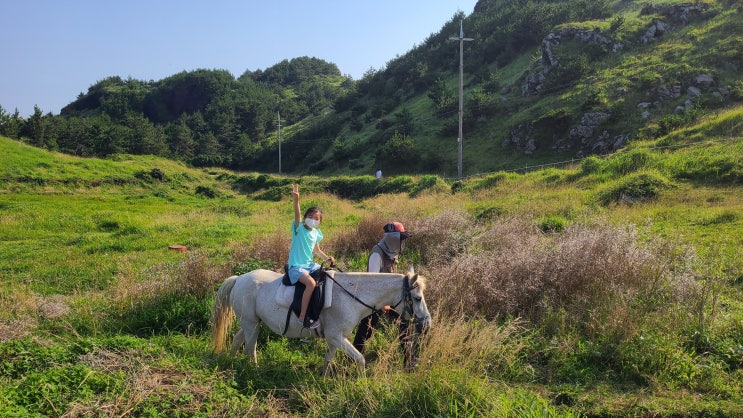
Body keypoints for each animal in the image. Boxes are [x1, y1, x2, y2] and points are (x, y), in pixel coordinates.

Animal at [211, 268, 430, 376]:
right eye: (417, 298)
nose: (427, 323)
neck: (351, 295)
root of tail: (239, 279)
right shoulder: (336, 336)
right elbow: (360, 359)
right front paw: (361, 383)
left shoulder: (335, 338)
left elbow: (328, 359)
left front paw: (323, 378)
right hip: (251, 324)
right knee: (250, 348)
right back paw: (254, 372)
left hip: (251, 322)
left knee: (238, 339)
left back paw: (230, 361)